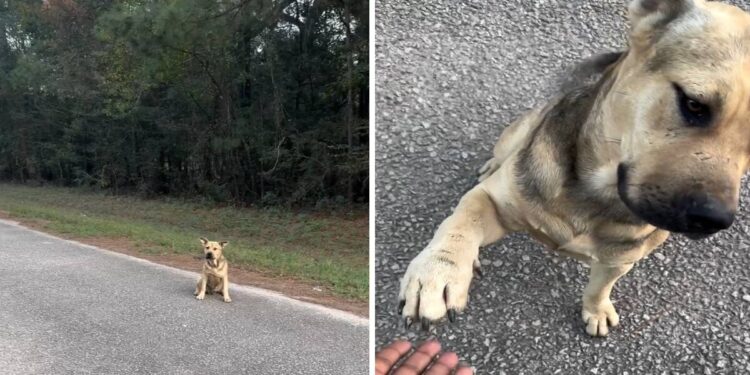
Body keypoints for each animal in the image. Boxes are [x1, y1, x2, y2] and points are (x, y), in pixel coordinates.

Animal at [400, 0, 750, 338]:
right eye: (693, 104)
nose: (712, 220)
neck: (596, 194)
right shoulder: (492, 203)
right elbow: (463, 220)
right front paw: (438, 271)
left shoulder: (618, 260)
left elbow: (599, 287)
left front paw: (596, 310)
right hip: (516, 132)